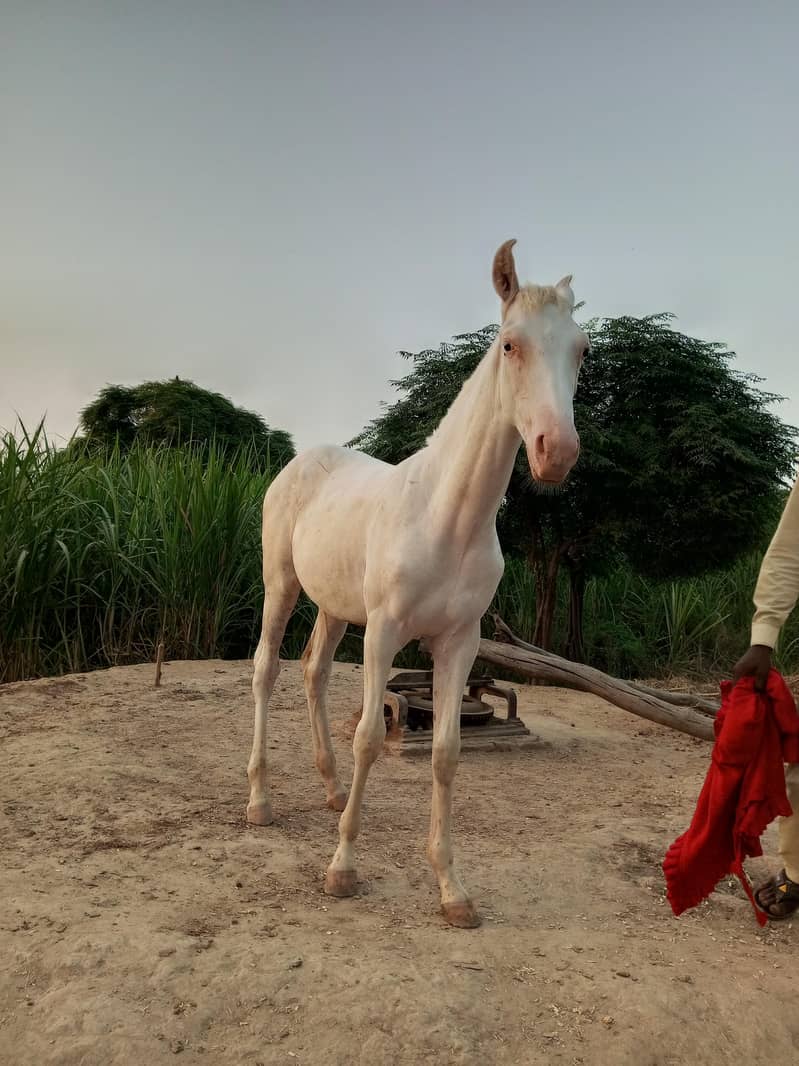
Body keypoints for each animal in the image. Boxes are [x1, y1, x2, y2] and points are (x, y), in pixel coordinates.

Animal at [246, 239, 587, 927]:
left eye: (583, 349)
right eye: (509, 344)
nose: (555, 451)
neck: (446, 517)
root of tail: (301, 461)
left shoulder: (459, 643)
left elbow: (447, 752)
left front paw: (452, 889)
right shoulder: (384, 633)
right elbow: (371, 736)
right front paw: (343, 869)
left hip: (334, 607)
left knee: (312, 672)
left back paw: (330, 790)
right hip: (282, 584)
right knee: (267, 670)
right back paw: (261, 800)